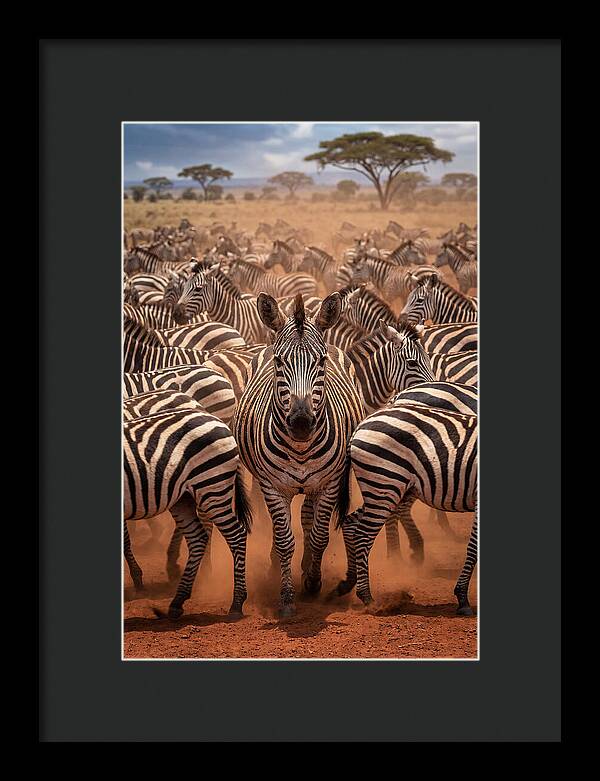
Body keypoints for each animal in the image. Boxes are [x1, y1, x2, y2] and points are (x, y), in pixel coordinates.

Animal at [124, 405, 252, 618]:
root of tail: (216, 419)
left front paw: (137, 579)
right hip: (183, 498)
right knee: (198, 538)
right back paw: (177, 601)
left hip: (212, 486)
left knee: (237, 536)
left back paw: (237, 603)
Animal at [232, 292, 365, 617]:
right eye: (280, 362)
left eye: (321, 361)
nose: (302, 423)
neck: (301, 448)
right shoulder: (272, 486)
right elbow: (283, 540)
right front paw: (287, 596)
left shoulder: (330, 483)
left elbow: (319, 535)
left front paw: (313, 582)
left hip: (317, 483)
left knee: (308, 516)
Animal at [337, 403, 478, 615]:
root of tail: (361, 425)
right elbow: (474, 547)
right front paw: (462, 598)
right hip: (385, 484)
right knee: (363, 534)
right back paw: (368, 598)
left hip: (383, 489)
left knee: (350, 523)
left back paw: (348, 582)